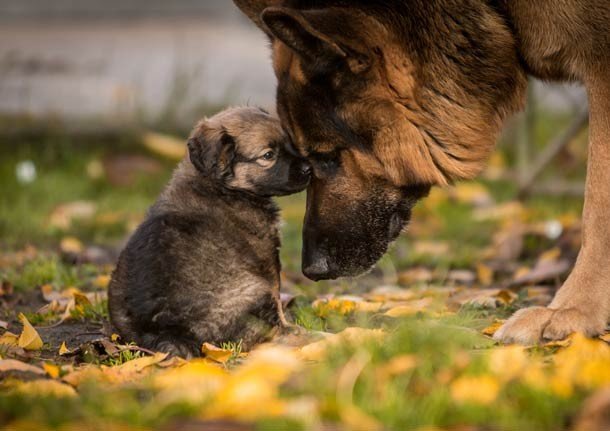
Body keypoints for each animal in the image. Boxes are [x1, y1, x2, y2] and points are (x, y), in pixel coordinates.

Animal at [105, 107, 312, 358]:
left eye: (290, 142)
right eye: (268, 155)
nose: (309, 168)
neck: (218, 185)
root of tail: (166, 331)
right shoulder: (267, 260)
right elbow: (276, 296)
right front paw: (289, 324)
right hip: (253, 289)